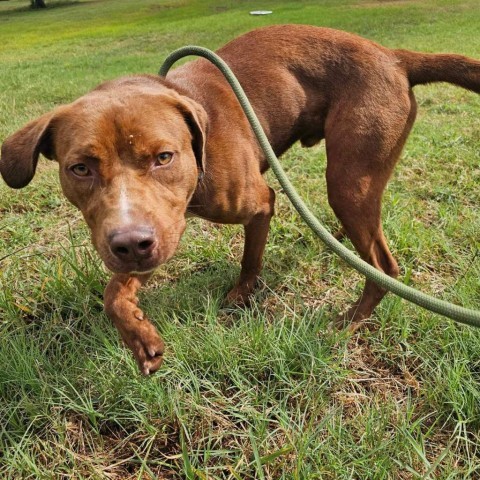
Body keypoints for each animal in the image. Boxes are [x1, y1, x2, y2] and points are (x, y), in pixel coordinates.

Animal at [0, 26, 480, 376]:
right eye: (79, 168)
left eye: (163, 157)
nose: (132, 243)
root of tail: (394, 56)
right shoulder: (159, 230)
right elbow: (115, 289)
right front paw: (139, 335)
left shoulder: (257, 202)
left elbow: (251, 257)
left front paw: (242, 293)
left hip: (348, 180)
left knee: (383, 267)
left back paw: (351, 320)